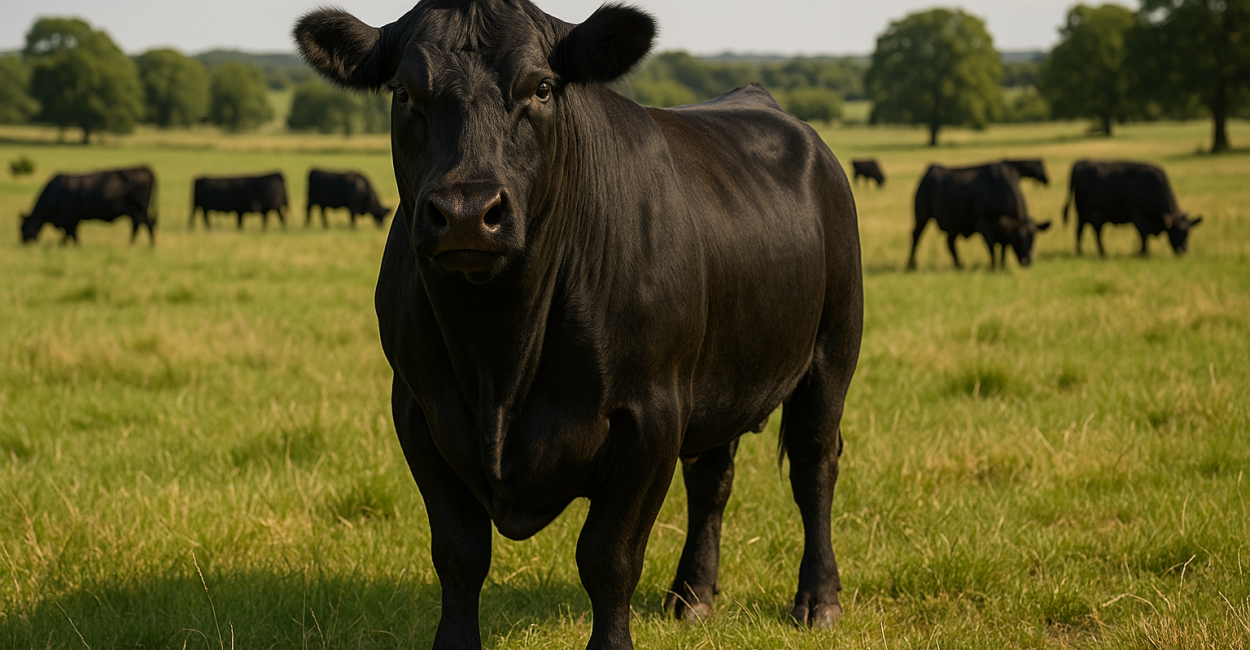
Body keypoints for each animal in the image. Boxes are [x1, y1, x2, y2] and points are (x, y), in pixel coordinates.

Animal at [20, 167, 157, 245]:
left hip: (139, 208)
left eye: (24, 229)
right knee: (139, 223)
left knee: (146, 223)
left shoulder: (70, 219)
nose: (23, 244)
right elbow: (68, 236)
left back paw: (145, 244)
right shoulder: (69, 221)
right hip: (136, 210)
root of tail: (145, 169)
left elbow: (72, 235)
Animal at [294, 1, 863, 648]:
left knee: (814, 467)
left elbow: (607, 557)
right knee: (712, 477)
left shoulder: (651, 417)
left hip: (832, 352)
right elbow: (459, 553)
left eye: (541, 87)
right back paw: (692, 596)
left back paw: (817, 600)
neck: (499, 354)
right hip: (723, 376)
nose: (466, 213)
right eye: (403, 92)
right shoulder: (418, 410)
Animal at [908, 162, 1051, 270]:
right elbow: (992, 248)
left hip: (953, 224)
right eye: (1019, 239)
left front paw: (1003, 265)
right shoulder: (984, 226)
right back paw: (911, 263)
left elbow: (1004, 247)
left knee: (950, 243)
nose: (1029, 260)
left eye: (1034, 238)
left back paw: (959, 265)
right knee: (916, 236)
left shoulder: (1004, 231)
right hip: (922, 216)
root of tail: (930, 170)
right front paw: (993, 267)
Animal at [1064, 160, 1202, 256]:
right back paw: (1083, 251)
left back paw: (1101, 252)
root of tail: (1081, 164)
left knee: (1095, 233)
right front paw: (1143, 252)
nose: (1184, 248)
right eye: (1176, 231)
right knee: (1081, 231)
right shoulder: (1138, 216)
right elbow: (1143, 235)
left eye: (1189, 232)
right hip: (1083, 214)